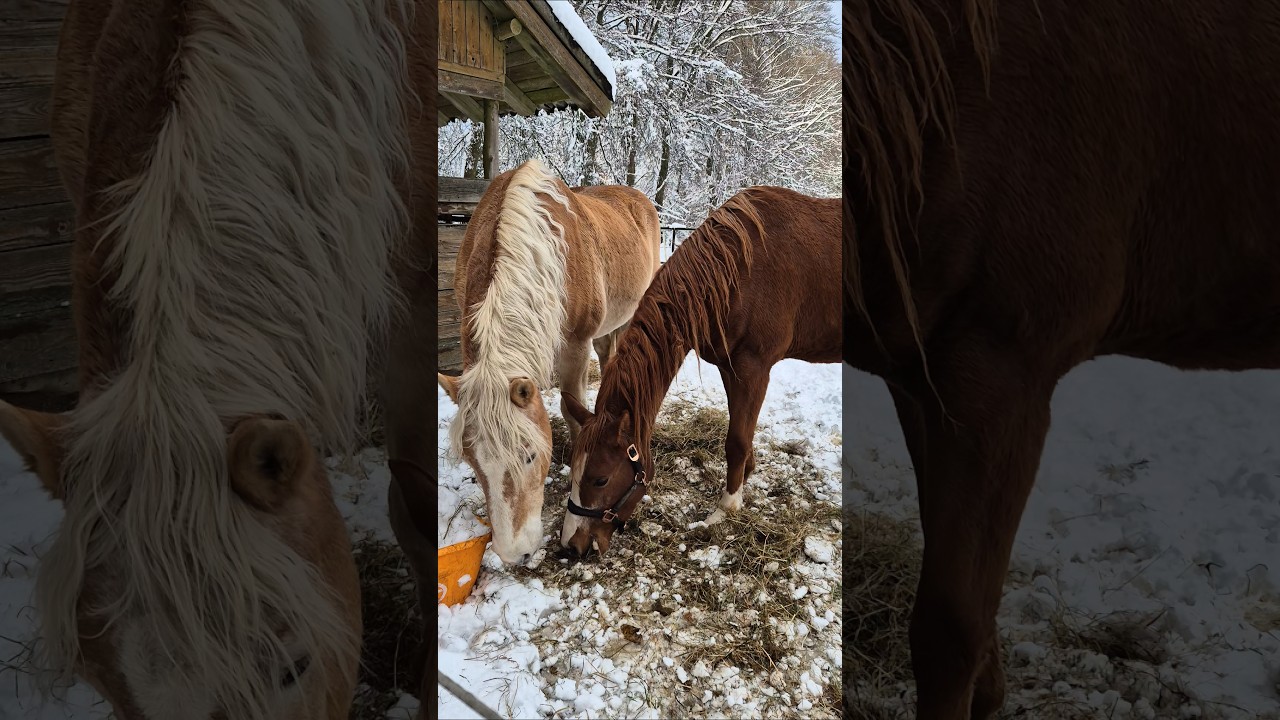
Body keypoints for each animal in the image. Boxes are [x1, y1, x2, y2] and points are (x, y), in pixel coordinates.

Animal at [560, 186, 840, 558]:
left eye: (600, 478)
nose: (571, 545)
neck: (738, 272)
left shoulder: (754, 367)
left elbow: (736, 439)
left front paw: (726, 507)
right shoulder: (730, 367)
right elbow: (740, 428)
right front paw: (746, 474)